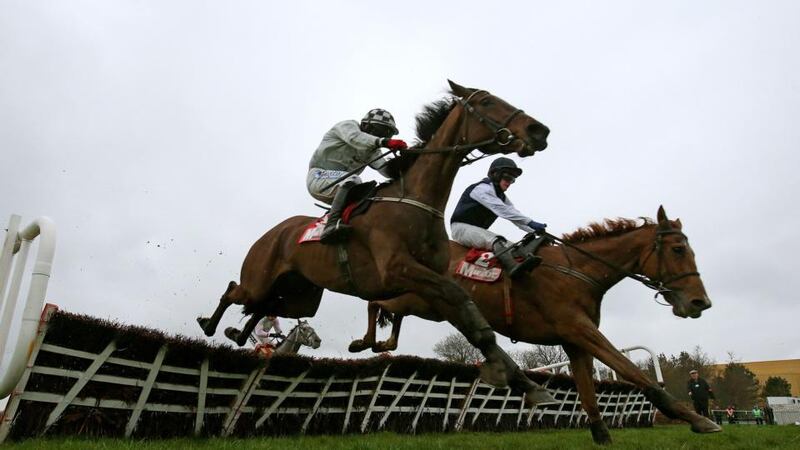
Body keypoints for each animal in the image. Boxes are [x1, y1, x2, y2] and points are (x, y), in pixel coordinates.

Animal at [197, 80, 552, 404]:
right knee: (234, 291)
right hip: (260, 279)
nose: (539, 130)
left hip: (301, 297)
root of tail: (274, 232)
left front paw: (526, 383)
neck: (415, 201)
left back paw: (237, 333)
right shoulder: (399, 270)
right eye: (487, 102)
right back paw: (209, 324)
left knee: (264, 306)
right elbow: (463, 302)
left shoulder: (429, 283)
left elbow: (473, 324)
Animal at [348, 207, 720, 442]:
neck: (577, 270)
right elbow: (629, 369)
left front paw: (601, 436)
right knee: (376, 303)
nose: (700, 302)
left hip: (427, 306)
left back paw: (378, 343)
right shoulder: (578, 328)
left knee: (387, 310)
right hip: (420, 299)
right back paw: (366, 341)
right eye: (677, 249)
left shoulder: (574, 341)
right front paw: (698, 419)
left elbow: (588, 391)